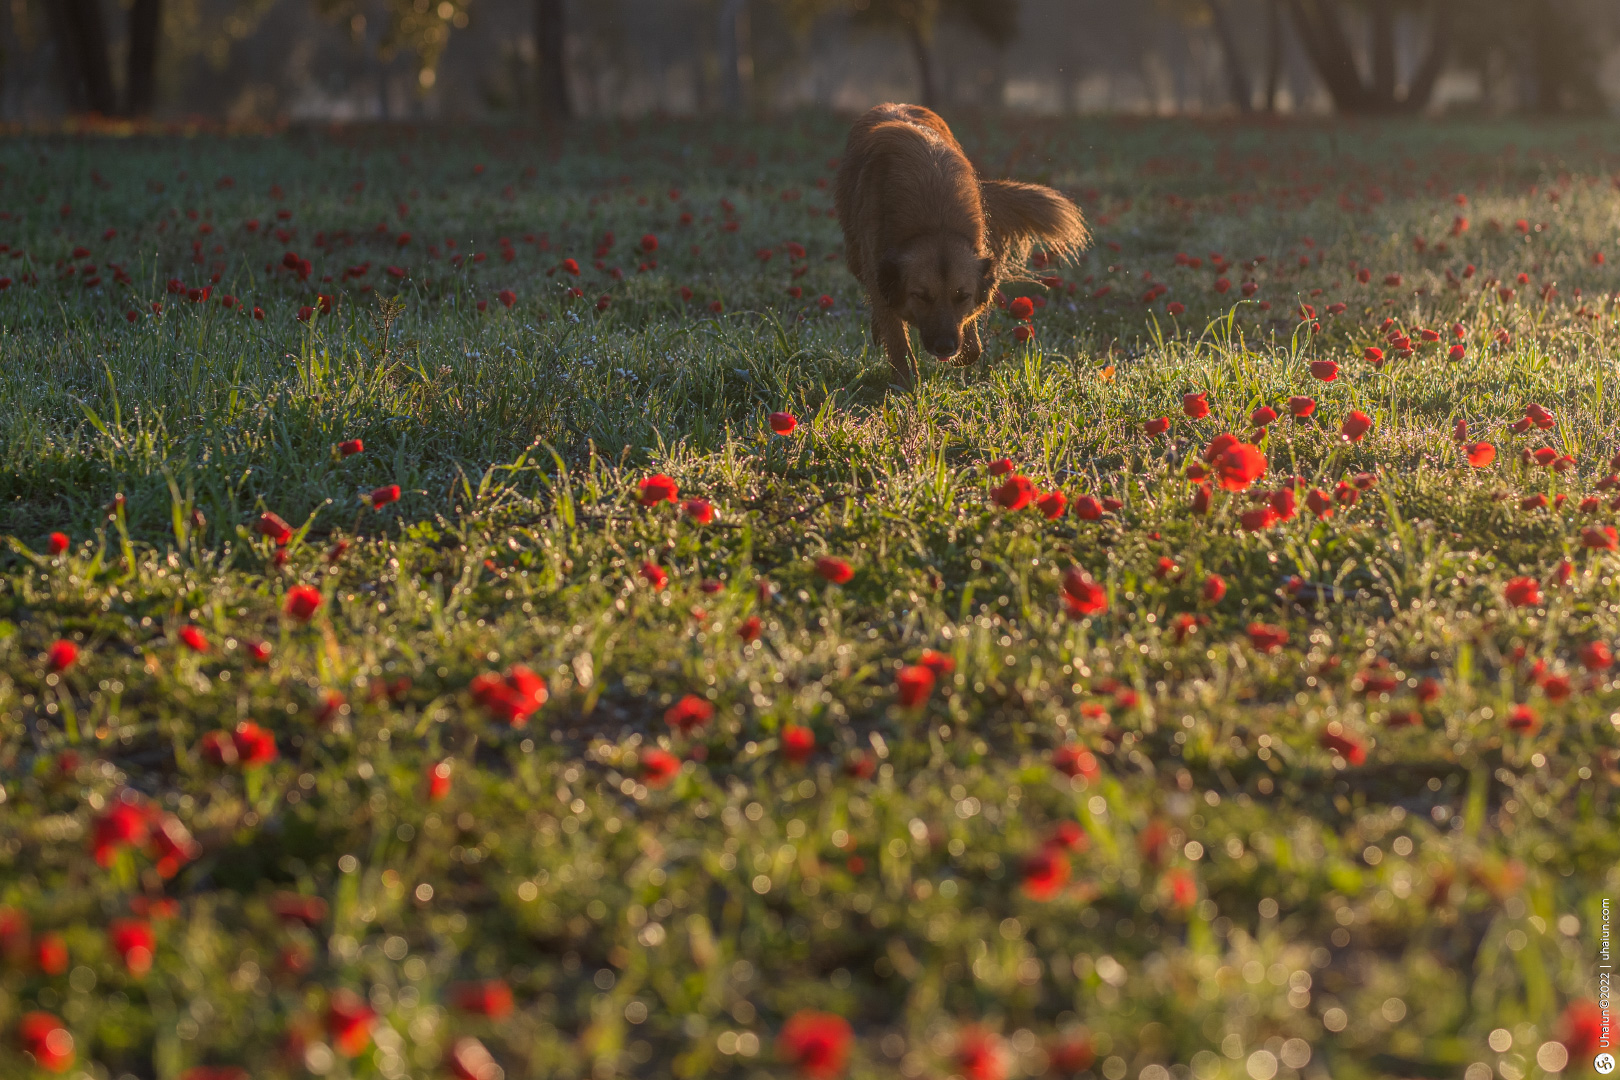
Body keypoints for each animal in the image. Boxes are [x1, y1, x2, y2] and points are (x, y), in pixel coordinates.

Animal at [835, 104, 1088, 383]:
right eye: (921, 296)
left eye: (962, 296)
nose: (945, 347)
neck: (936, 220)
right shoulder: (878, 262)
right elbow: (896, 336)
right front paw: (906, 381)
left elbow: (972, 348)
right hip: (856, 255)